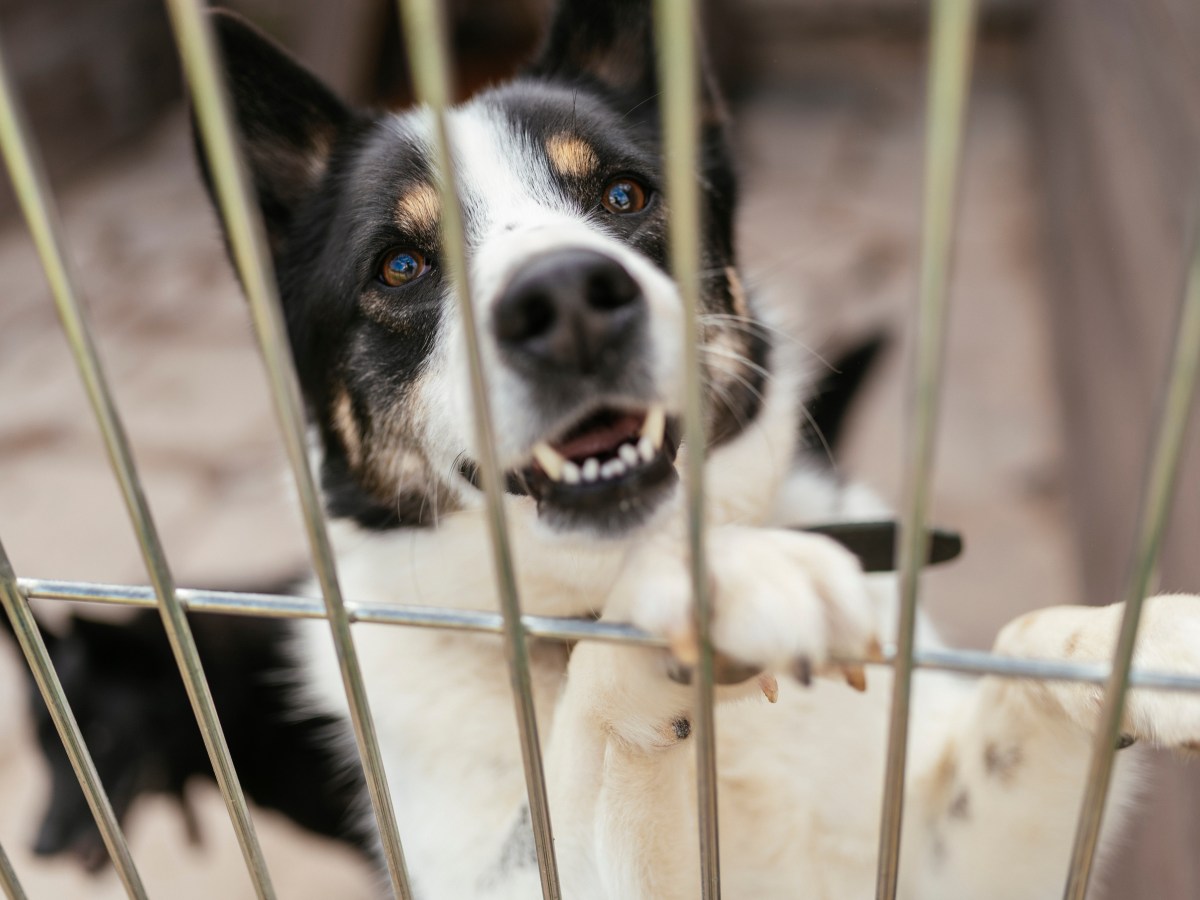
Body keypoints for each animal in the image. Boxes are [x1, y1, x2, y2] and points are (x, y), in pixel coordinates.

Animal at [196, 3, 1200, 897]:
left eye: (624, 194)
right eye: (400, 267)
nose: (566, 301)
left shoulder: (931, 860)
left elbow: (1022, 665)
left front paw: (1129, 639)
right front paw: (708, 578)